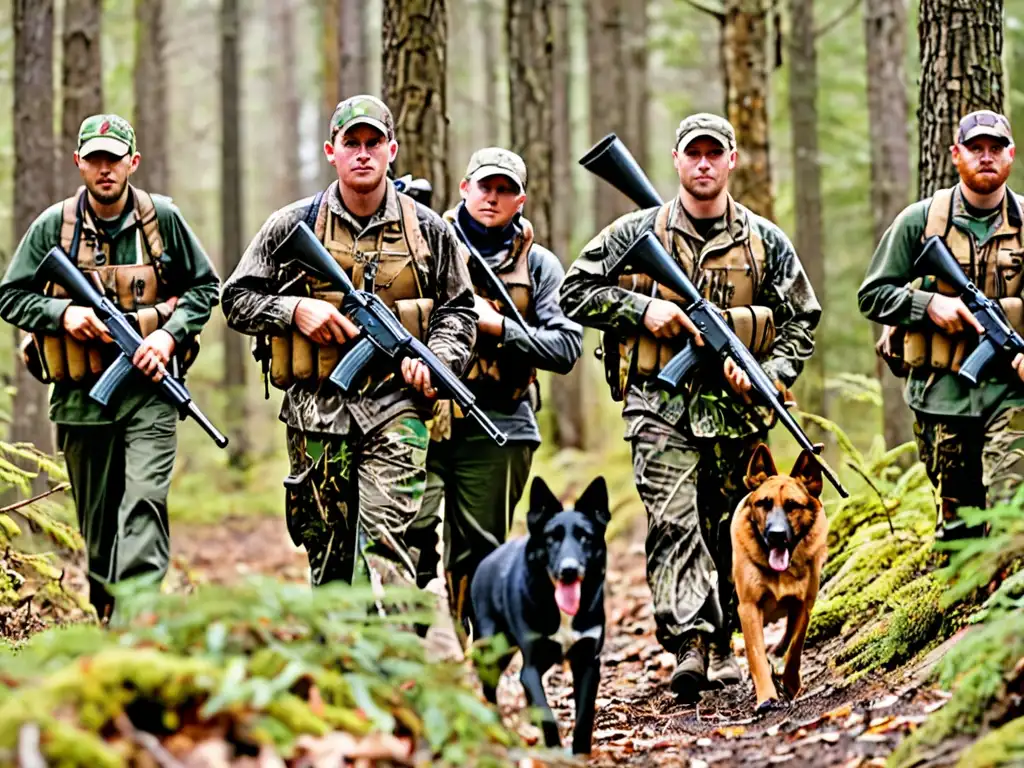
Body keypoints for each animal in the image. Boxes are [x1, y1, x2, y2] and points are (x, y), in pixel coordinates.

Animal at [471, 479, 606, 753]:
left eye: (585, 538)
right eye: (551, 538)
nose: (569, 570)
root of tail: (486, 560)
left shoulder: (588, 662)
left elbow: (584, 714)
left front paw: (581, 753)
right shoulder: (531, 667)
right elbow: (546, 713)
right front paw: (554, 750)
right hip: (492, 650)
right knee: (489, 688)